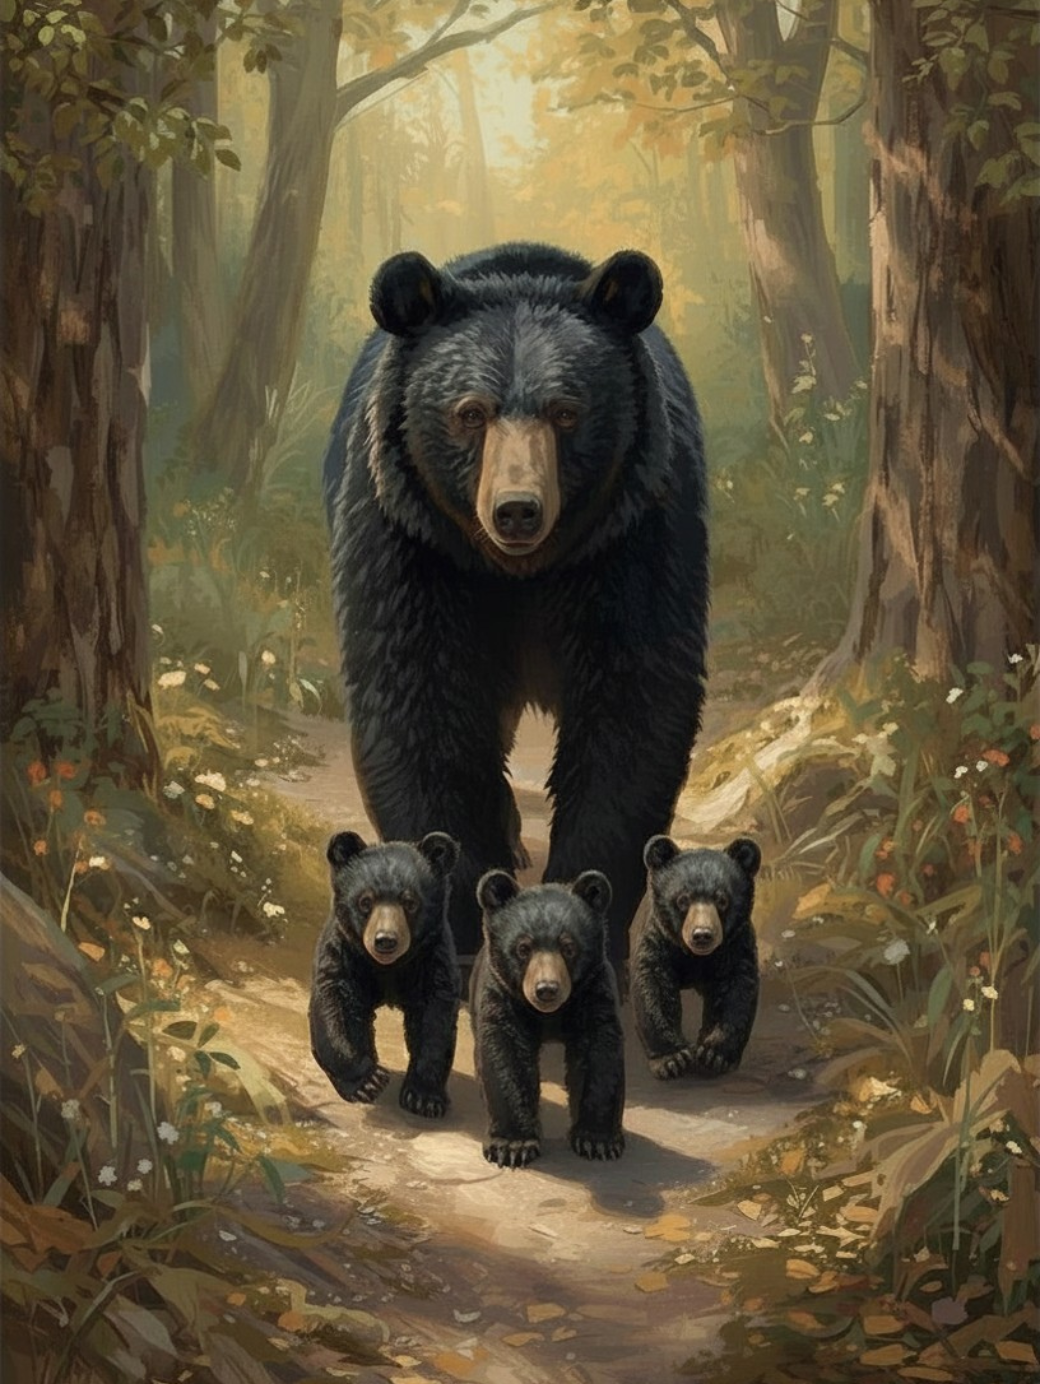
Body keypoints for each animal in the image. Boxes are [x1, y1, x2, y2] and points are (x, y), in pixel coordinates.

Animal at [309, 829, 460, 1117]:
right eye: (365, 901)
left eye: (410, 902)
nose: (385, 940)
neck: (389, 967)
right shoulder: (346, 954)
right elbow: (337, 1008)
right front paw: (368, 1081)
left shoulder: (431, 959)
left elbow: (434, 1020)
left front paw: (423, 1098)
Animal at [323, 242, 708, 968]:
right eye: (470, 412)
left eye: (566, 411)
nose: (517, 510)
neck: (520, 570)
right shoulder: (413, 541)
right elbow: (418, 701)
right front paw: (461, 919)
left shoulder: (633, 534)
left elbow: (634, 705)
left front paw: (586, 904)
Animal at [469, 869, 625, 1168]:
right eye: (523, 947)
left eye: (569, 947)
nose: (546, 989)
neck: (551, 1015)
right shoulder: (504, 996)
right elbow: (506, 1054)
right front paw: (512, 1146)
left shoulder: (592, 993)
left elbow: (598, 1053)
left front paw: (597, 1141)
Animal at [631, 835, 762, 1079]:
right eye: (683, 899)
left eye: (722, 900)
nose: (702, 935)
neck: (695, 957)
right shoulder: (659, 940)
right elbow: (654, 989)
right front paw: (673, 1059)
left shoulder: (735, 946)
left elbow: (735, 990)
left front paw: (713, 1055)